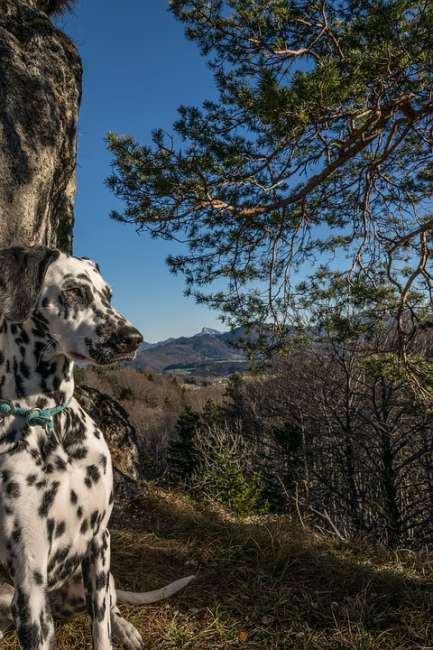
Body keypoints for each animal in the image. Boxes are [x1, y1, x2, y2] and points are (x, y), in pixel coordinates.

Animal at [0, 246, 193, 644]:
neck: (51, 421)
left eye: (109, 295)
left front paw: (114, 630)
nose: (133, 338)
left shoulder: (98, 543)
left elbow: (101, 630)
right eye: (74, 292)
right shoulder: (30, 574)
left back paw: (126, 628)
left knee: (112, 607)